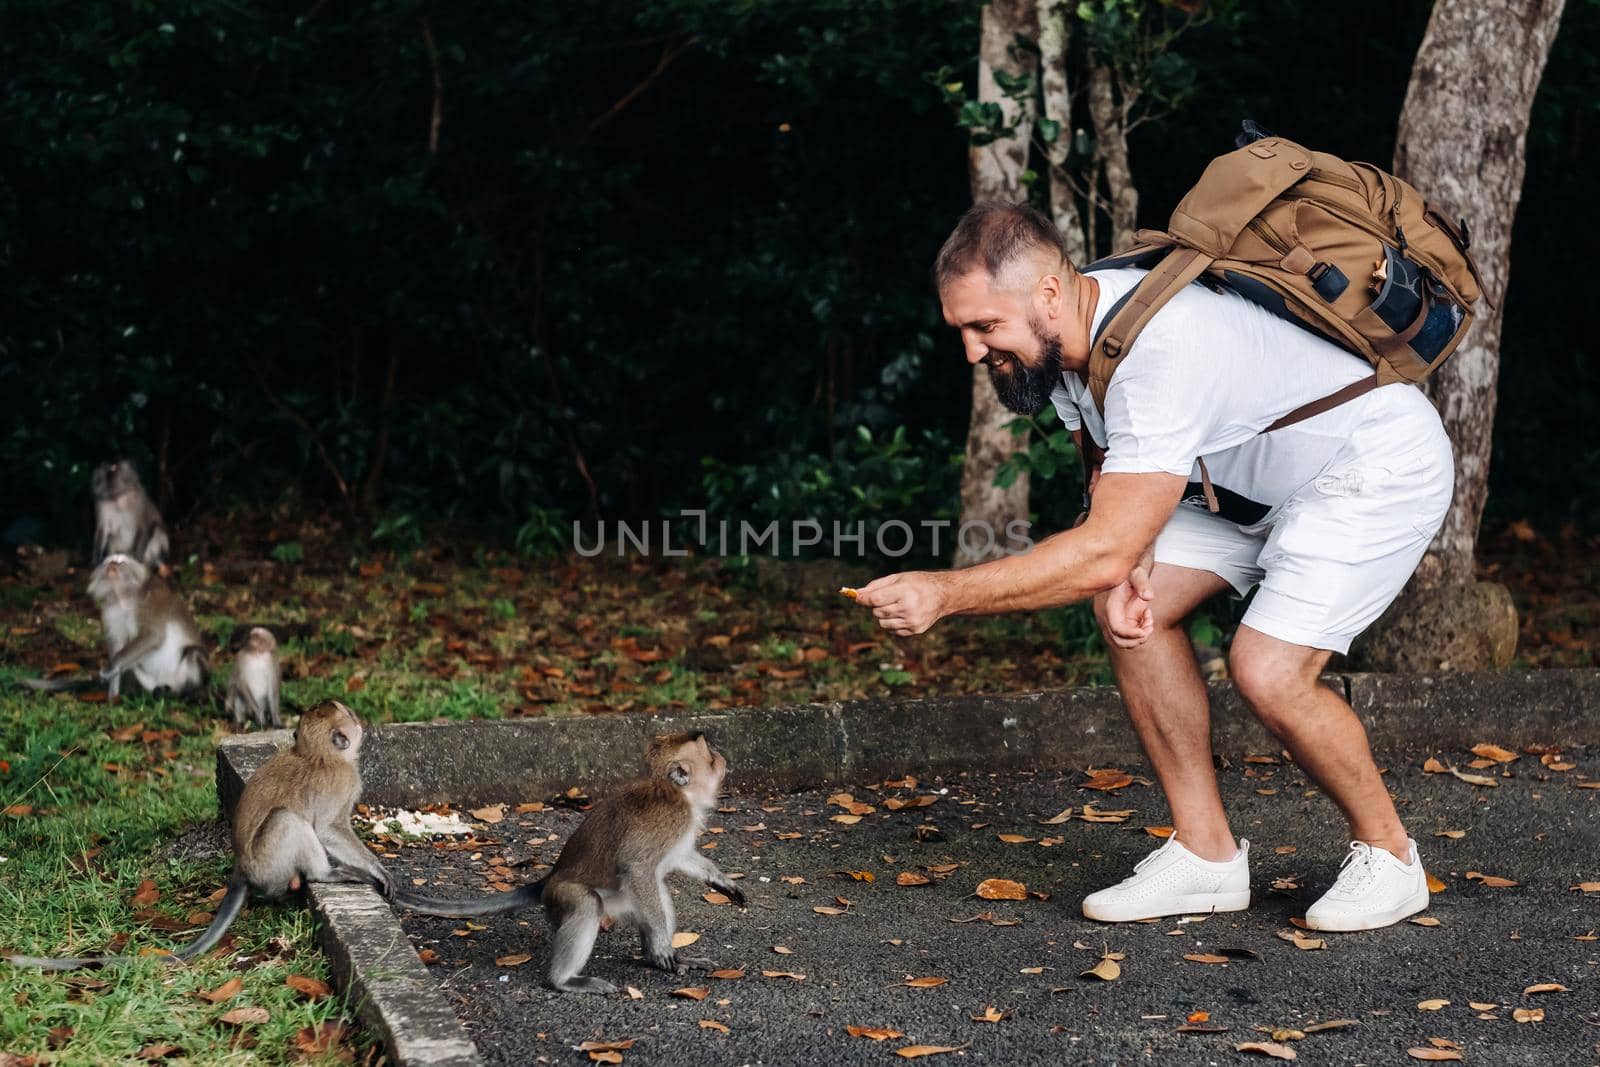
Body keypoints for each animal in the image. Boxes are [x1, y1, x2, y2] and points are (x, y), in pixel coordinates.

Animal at [396, 735, 752, 991]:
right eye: (709, 754)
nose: (722, 758)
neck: (677, 795)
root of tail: (548, 879)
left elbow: (677, 858)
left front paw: (720, 880)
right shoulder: (671, 820)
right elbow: (636, 866)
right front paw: (664, 946)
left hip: (624, 900)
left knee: (658, 895)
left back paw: (658, 958)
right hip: (562, 897)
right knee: (587, 905)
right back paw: (565, 981)